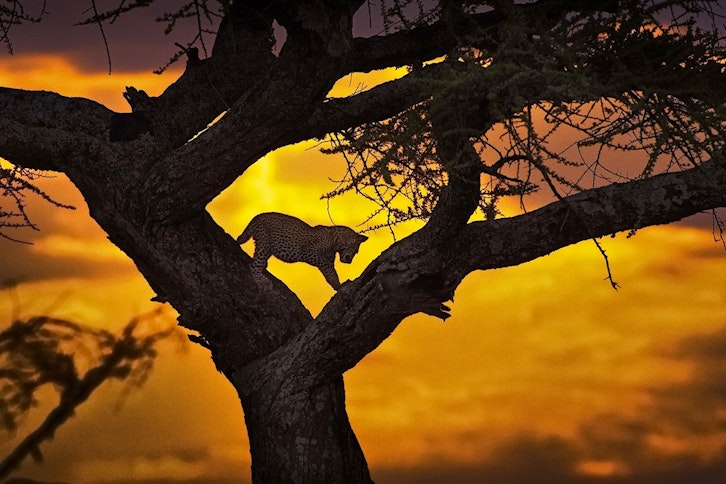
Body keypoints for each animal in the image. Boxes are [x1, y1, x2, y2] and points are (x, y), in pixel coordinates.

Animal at [236, 212, 368, 290]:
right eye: (356, 251)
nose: (349, 261)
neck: (335, 243)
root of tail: (257, 216)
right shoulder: (308, 252)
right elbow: (328, 268)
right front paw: (339, 285)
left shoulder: (329, 262)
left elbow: (330, 273)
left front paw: (337, 285)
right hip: (264, 243)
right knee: (253, 265)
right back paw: (263, 282)